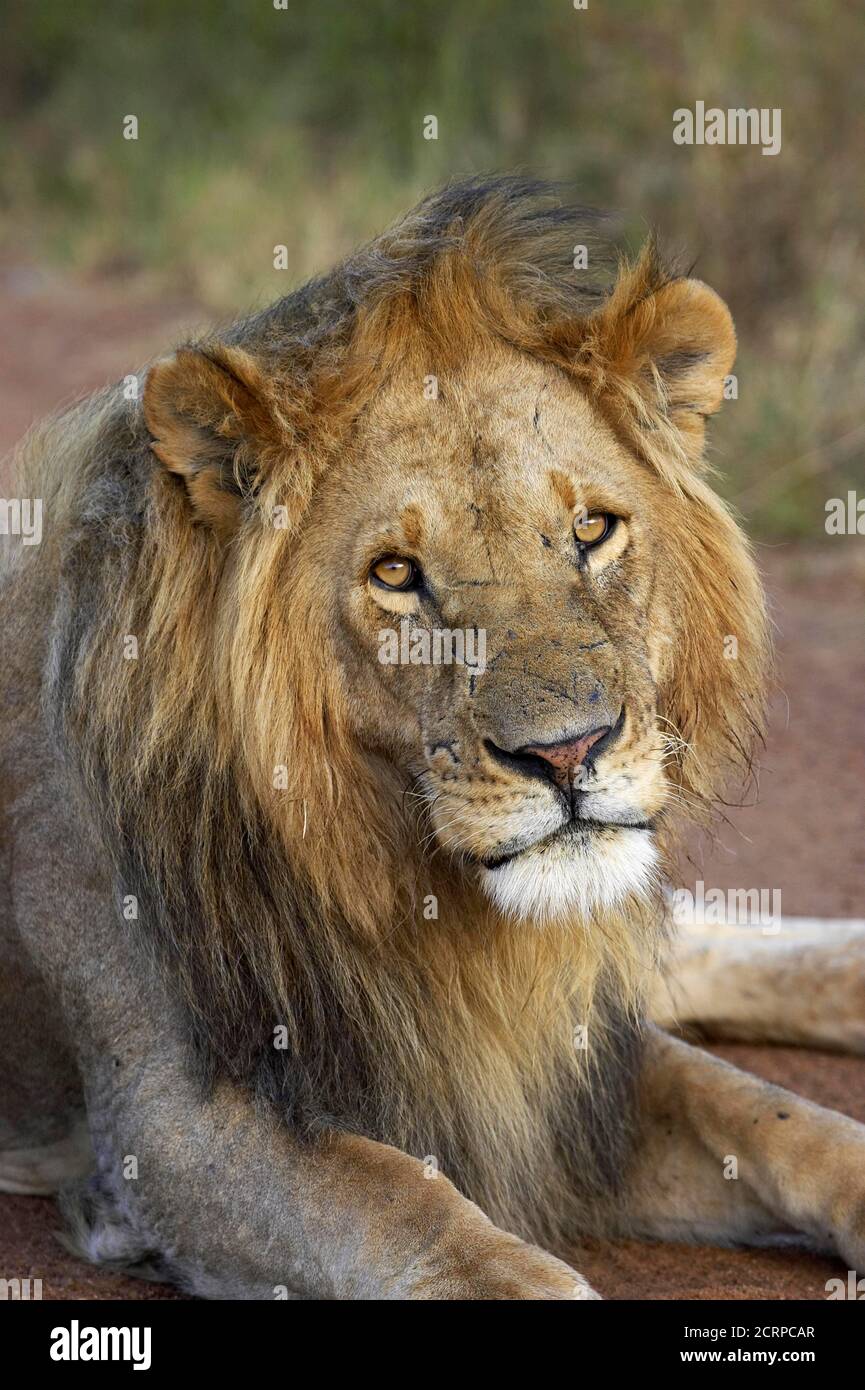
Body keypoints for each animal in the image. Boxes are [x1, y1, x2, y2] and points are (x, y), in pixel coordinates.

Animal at [2, 176, 865, 1300]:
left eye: (591, 531)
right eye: (396, 574)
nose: (568, 752)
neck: (408, 887)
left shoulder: (563, 1056)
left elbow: (776, 1122)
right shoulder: (168, 1125)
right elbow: (419, 1216)